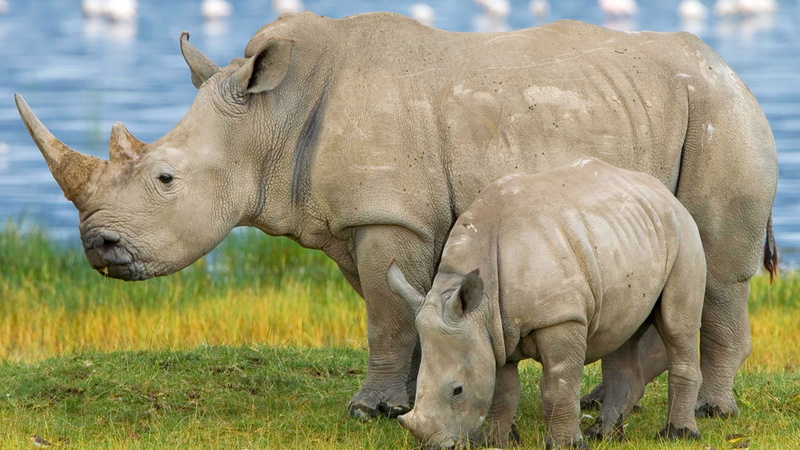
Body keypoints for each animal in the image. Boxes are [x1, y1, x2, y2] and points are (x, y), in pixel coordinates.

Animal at [388, 159, 706, 448]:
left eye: (458, 390)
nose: (433, 446)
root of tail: (663, 192)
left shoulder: (560, 317)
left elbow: (558, 386)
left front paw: (567, 445)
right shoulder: (494, 330)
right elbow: (503, 390)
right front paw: (497, 441)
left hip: (684, 232)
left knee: (678, 328)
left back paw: (678, 434)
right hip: (628, 236)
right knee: (622, 332)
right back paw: (604, 435)